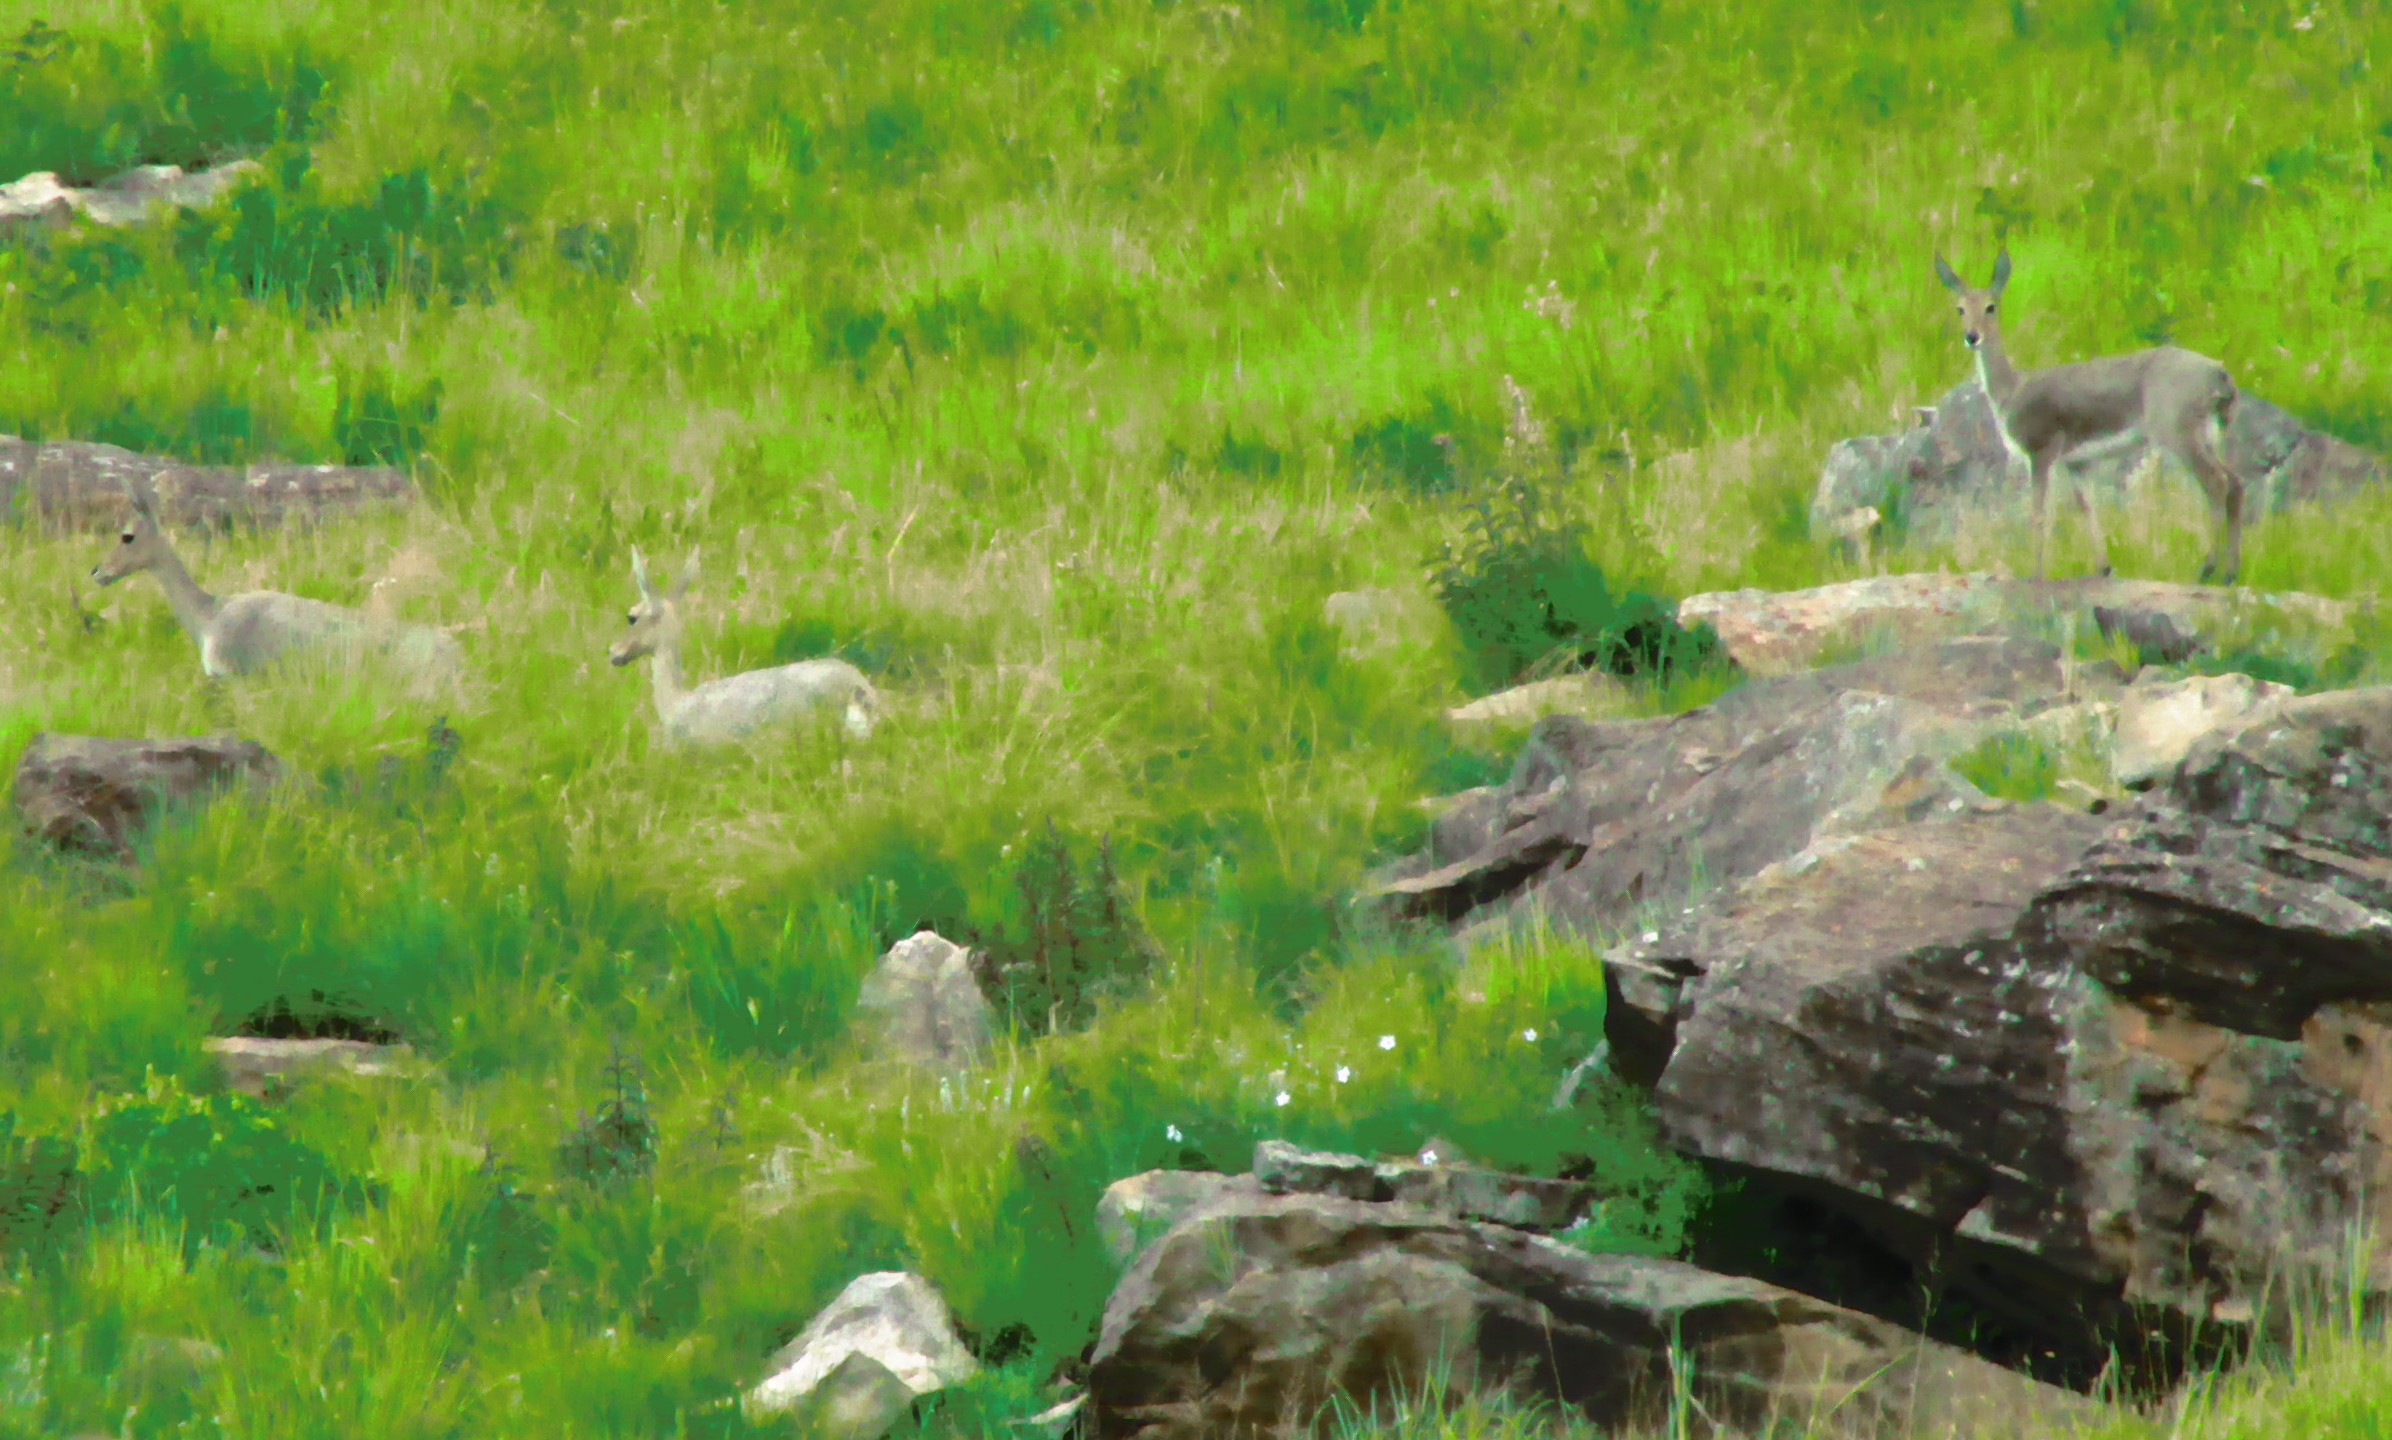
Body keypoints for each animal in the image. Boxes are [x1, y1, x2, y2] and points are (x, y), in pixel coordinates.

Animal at [1932, 246, 2248, 583]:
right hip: (2208, 435)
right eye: (1960, 308)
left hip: (2176, 431)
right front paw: (2104, 567)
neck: (2011, 391)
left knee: (2216, 482)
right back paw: (2230, 573)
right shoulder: (2077, 461)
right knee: (2236, 482)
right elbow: (2087, 506)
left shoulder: (2040, 449)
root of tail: (2220, 375)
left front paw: (2036, 575)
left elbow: (2039, 514)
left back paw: (2206, 569)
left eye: (1991, 306)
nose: (1972, 336)